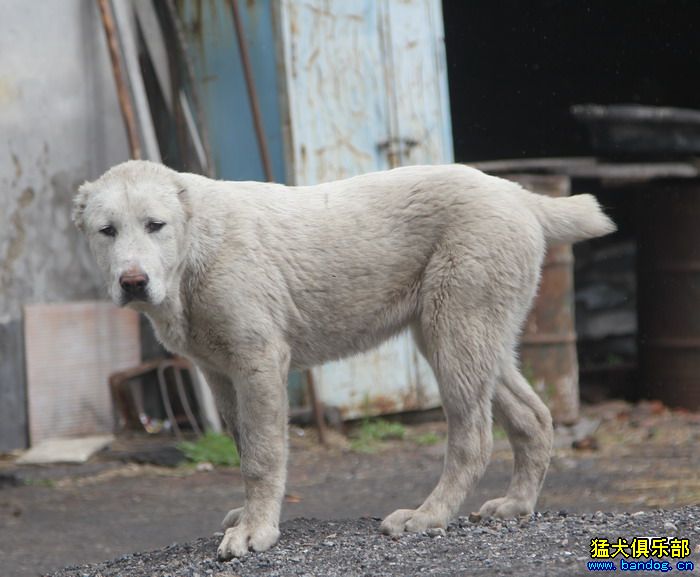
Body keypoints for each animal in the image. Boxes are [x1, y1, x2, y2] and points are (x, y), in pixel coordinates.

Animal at [74, 160, 616, 556]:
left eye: (155, 225)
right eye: (107, 231)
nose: (133, 281)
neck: (196, 245)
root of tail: (520, 195)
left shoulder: (259, 360)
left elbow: (263, 457)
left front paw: (255, 531)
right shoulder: (218, 373)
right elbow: (244, 446)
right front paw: (249, 516)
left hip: (456, 333)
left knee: (473, 438)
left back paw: (428, 516)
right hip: (476, 338)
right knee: (533, 417)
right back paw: (517, 505)